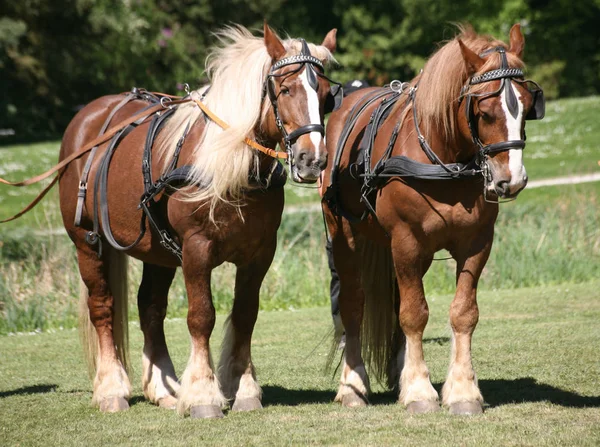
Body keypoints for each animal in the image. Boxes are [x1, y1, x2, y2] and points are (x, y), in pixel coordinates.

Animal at [55, 24, 340, 418]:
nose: (313, 160)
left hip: (157, 250)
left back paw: (163, 388)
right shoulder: (196, 249)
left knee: (150, 309)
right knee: (103, 308)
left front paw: (243, 388)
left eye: (327, 97)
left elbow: (245, 315)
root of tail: (90, 117)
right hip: (87, 242)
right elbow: (201, 316)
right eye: (285, 90)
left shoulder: (259, 254)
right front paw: (204, 393)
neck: (231, 166)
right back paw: (112, 388)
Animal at [322, 24, 548, 416]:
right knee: (353, 304)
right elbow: (414, 314)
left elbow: (463, 312)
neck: (445, 157)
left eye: (525, 106)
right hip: (347, 237)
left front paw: (461, 391)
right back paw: (354, 384)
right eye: (485, 111)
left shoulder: (477, 244)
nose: (513, 179)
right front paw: (419, 392)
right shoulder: (406, 241)